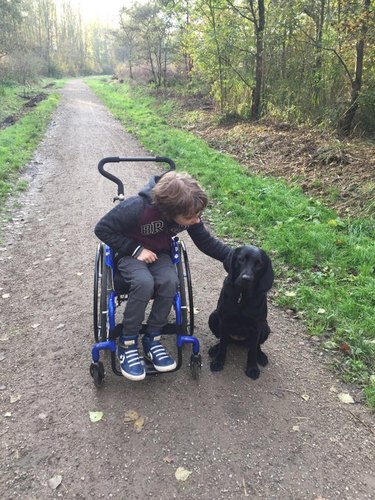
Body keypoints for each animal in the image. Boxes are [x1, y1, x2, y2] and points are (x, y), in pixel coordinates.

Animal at [209, 245, 274, 378]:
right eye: (241, 259)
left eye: (259, 265)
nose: (246, 279)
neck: (242, 296)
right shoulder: (224, 321)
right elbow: (223, 345)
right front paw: (218, 361)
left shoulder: (257, 327)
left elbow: (252, 351)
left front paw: (252, 368)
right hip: (213, 317)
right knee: (224, 341)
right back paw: (215, 349)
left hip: (265, 328)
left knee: (256, 346)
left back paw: (261, 356)